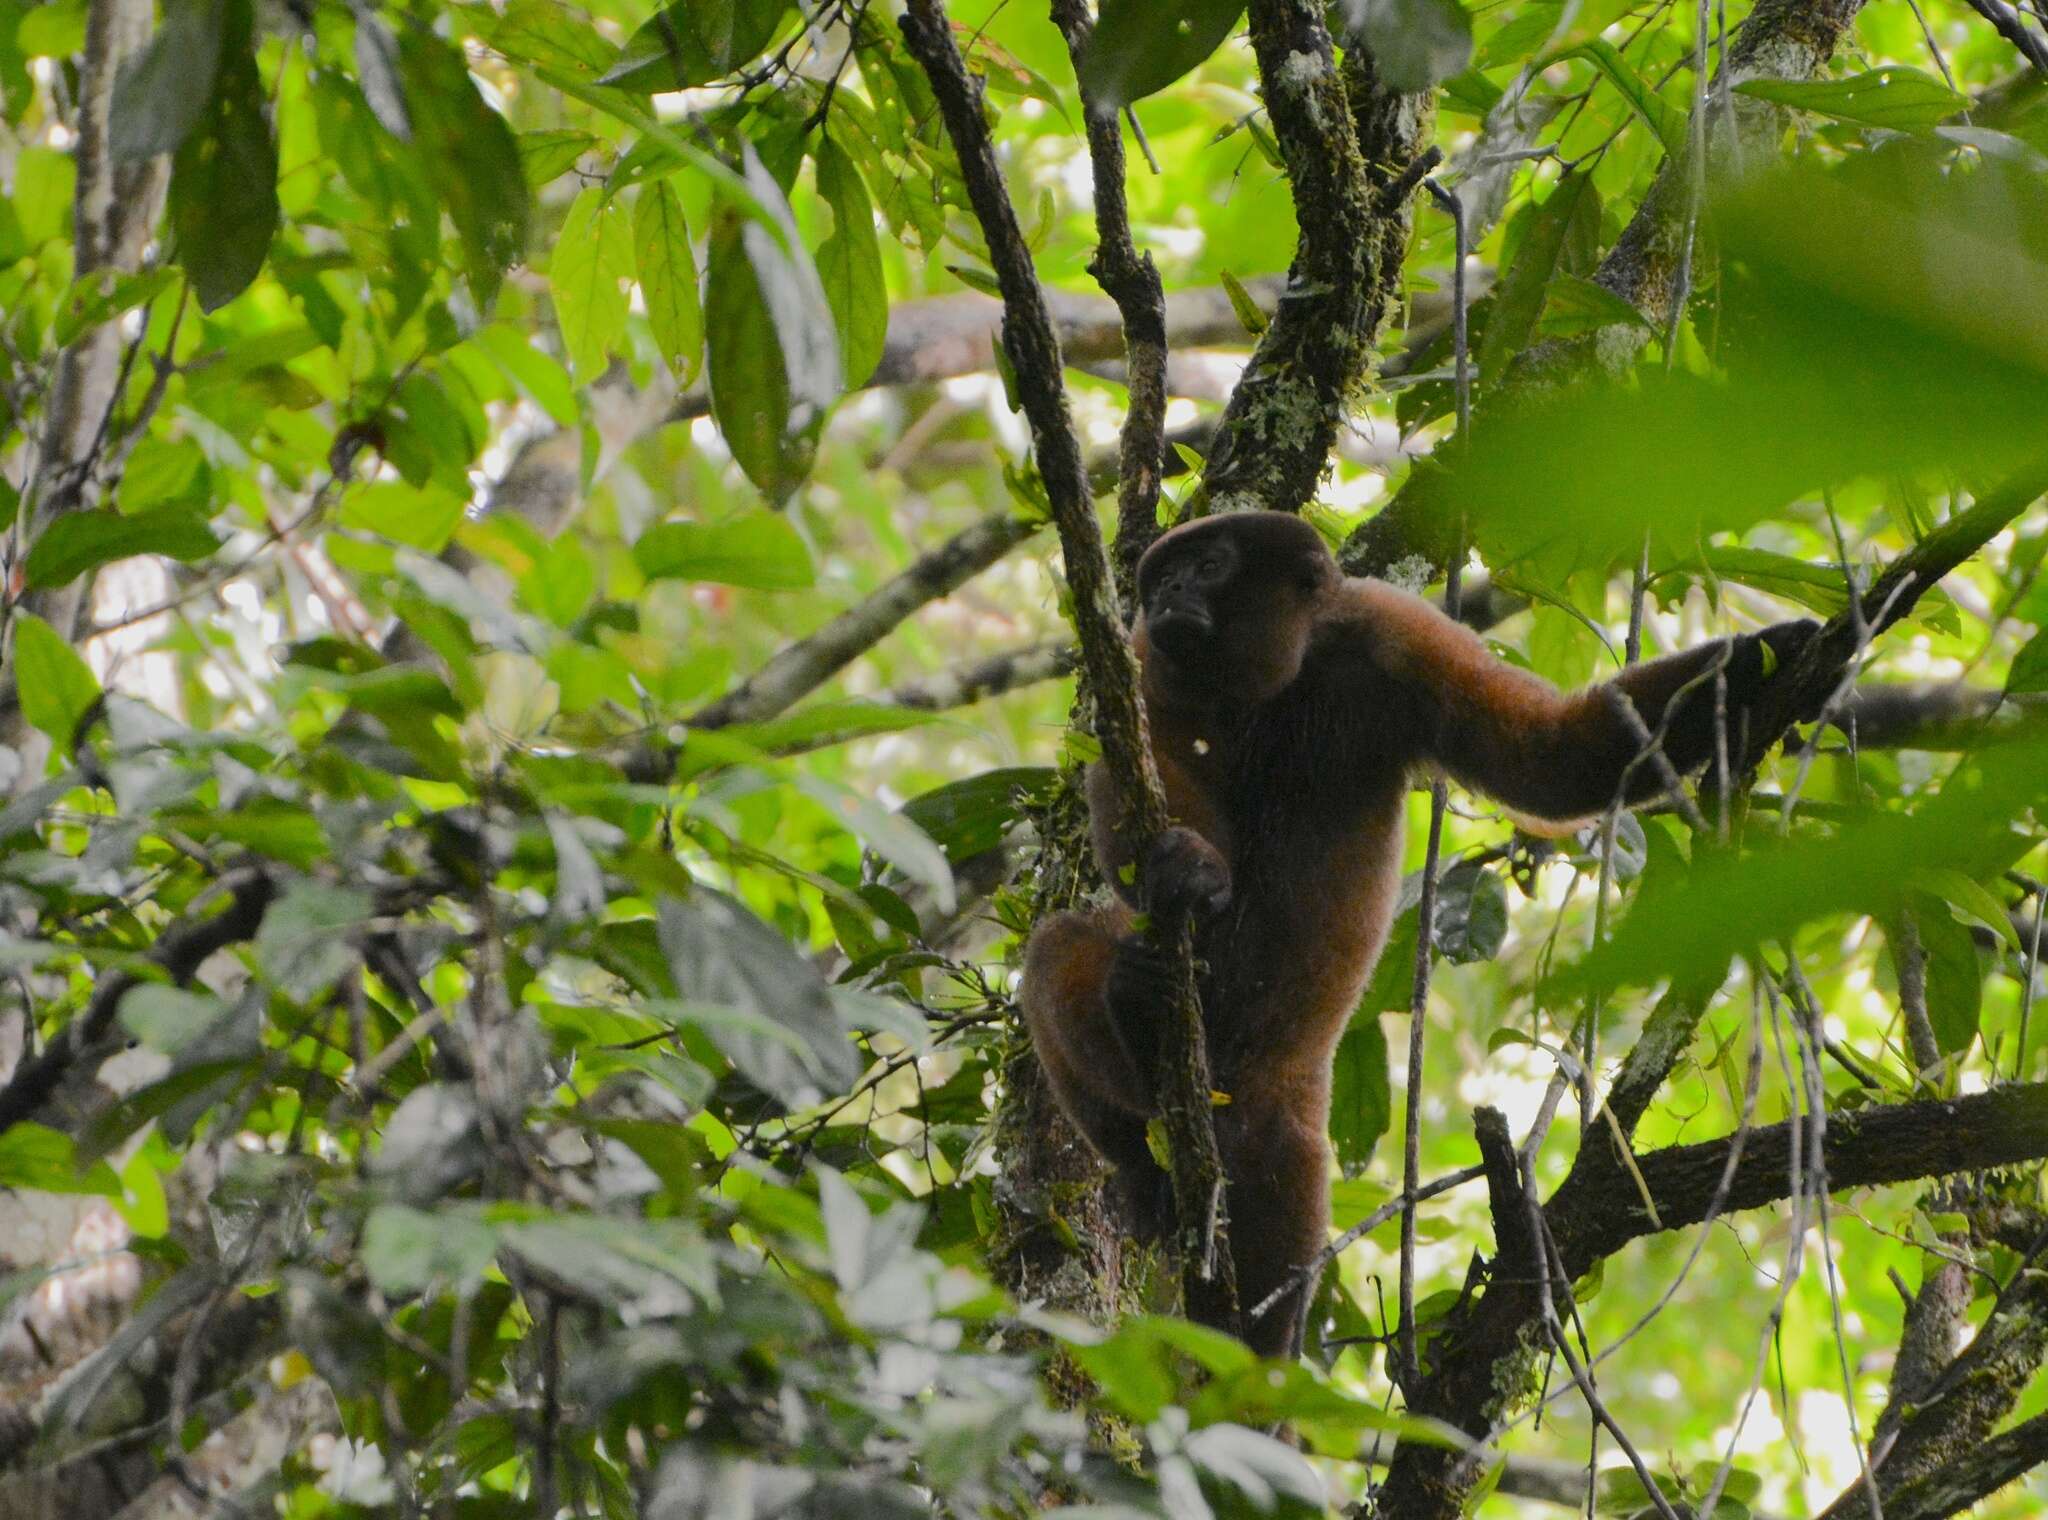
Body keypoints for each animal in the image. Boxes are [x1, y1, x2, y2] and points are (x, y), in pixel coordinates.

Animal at [1019, 514, 1810, 1360]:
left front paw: (1768, 656)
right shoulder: (1144, 654)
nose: (1164, 589)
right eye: (1161, 579)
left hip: (1273, 1122)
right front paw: (1188, 868)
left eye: (1208, 565)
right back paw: (1139, 1080)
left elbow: (1543, 755)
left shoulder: (1396, 633)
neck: (1277, 675)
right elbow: (1134, 774)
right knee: (1058, 951)